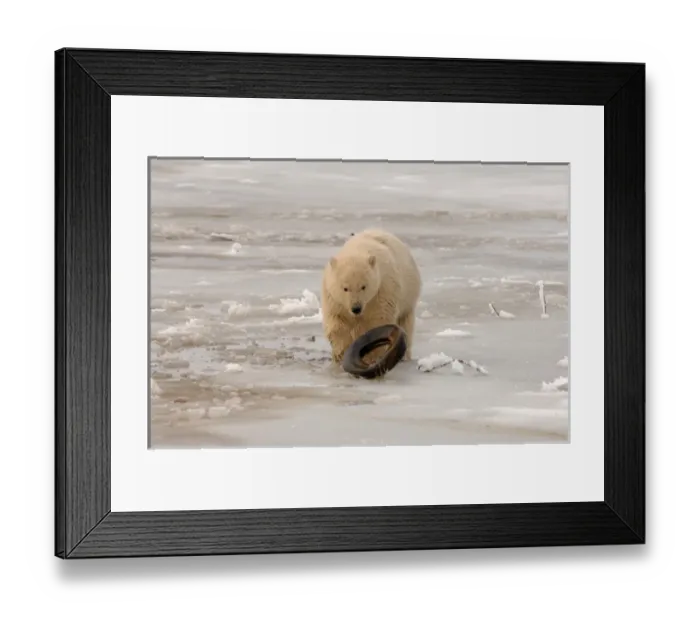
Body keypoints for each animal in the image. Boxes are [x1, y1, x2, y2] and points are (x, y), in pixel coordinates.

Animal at [321, 229, 421, 364]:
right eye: (345, 288)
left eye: (363, 286)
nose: (356, 308)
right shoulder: (334, 299)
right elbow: (337, 322)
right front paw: (341, 354)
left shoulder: (382, 292)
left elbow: (378, 321)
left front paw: (372, 356)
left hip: (408, 297)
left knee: (405, 323)